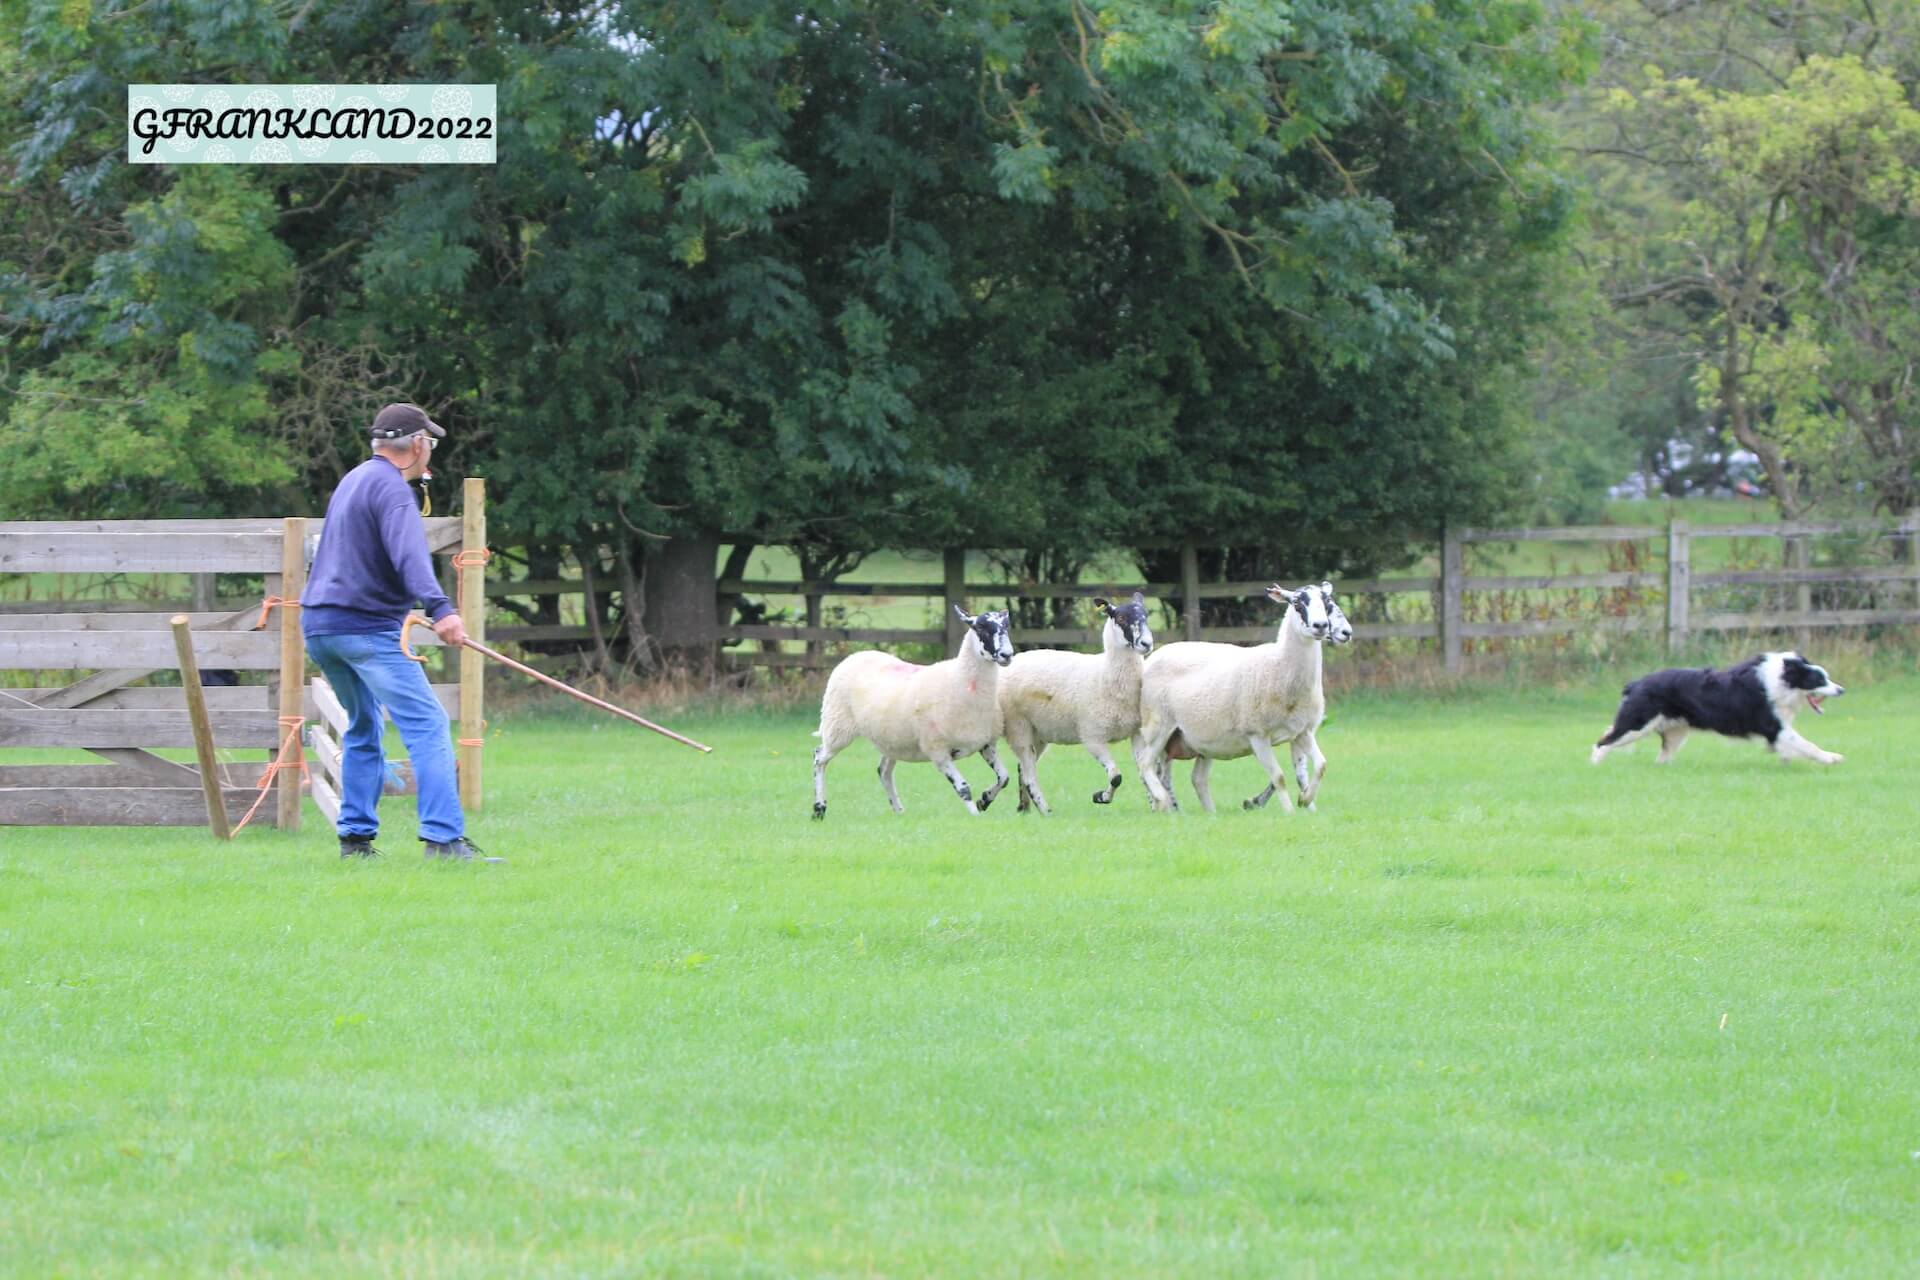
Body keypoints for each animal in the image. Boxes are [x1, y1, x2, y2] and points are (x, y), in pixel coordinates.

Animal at [811, 606, 1014, 819]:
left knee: (883, 771)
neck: (958, 681)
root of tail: (856, 655)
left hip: (892, 739)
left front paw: (984, 801)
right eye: (980, 627)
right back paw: (819, 809)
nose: (1007, 655)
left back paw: (899, 811)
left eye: (1007, 625)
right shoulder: (938, 751)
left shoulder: (986, 743)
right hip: (838, 726)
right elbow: (963, 788)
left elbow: (1004, 777)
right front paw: (976, 816)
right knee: (819, 758)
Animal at [989, 592, 1155, 815]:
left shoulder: (1136, 733)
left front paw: (1156, 807)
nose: (1147, 643)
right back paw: (1045, 811)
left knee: (1022, 769)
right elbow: (1116, 777)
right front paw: (1100, 797)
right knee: (1029, 775)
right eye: (1120, 618)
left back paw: (1022, 808)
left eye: (1146, 615)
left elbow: (1144, 772)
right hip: (1018, 727)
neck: (1105, 674)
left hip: (1038, 733)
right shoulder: (1092, 736)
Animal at [1134, 582, 1352, 814]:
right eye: (1297, 603)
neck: (1279, 664)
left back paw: (1209, 814)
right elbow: (1279, 777)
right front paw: (1289, 812)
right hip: (1159, 726)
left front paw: (1305, 799)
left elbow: (1321, 765)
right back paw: (1162, 800)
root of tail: (1153, 657)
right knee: (1145, 764)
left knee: (1197, 779)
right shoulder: (1257, 736)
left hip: (1201, 740)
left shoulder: (1302, 732)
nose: (1321, 625)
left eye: (1326, 602)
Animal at [1590, 652, 1845, 766]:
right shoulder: (1773, 725)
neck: (1780, 681)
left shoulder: (1778, 728)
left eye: (1827, 677)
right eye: (1819, 680)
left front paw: (1786, 758)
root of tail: (1636, 683)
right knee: (1603, 741)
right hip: (1638, 724)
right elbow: (1806, 744)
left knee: (1660, 756)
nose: (1841, 690)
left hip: (1675, 732)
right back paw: (1596, 764)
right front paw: (1831, 757)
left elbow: (1790, 747)